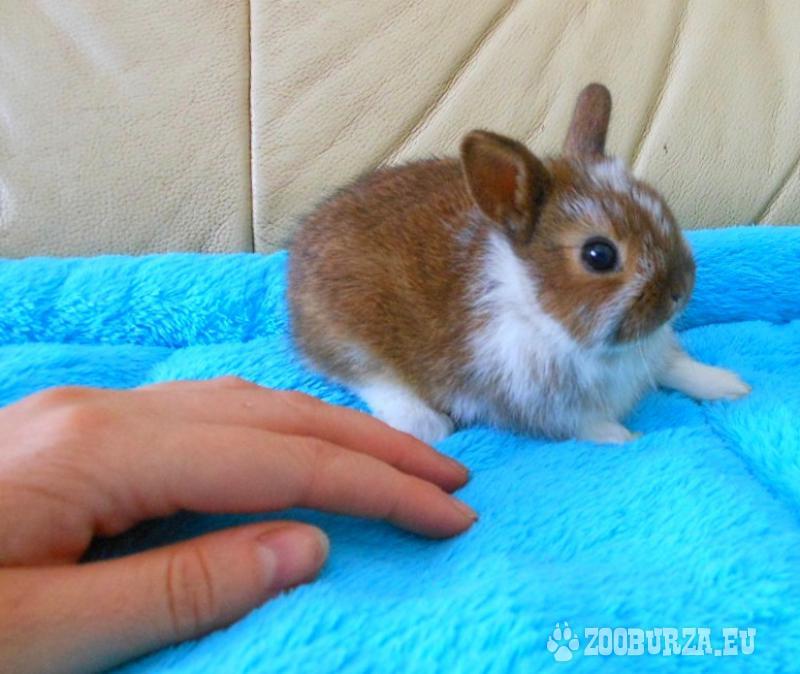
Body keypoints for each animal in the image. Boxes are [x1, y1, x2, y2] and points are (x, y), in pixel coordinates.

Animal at [288, 83, 751, 445]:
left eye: (662, 208)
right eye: (598, 255)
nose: (680, 292)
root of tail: (303, 244)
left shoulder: (653, 357)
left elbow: (680, 368)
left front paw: (732, 386)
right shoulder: (539, 406)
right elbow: (589, 427)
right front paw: (628, 437)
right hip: (349, 333)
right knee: (364, 375)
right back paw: (426, 423)